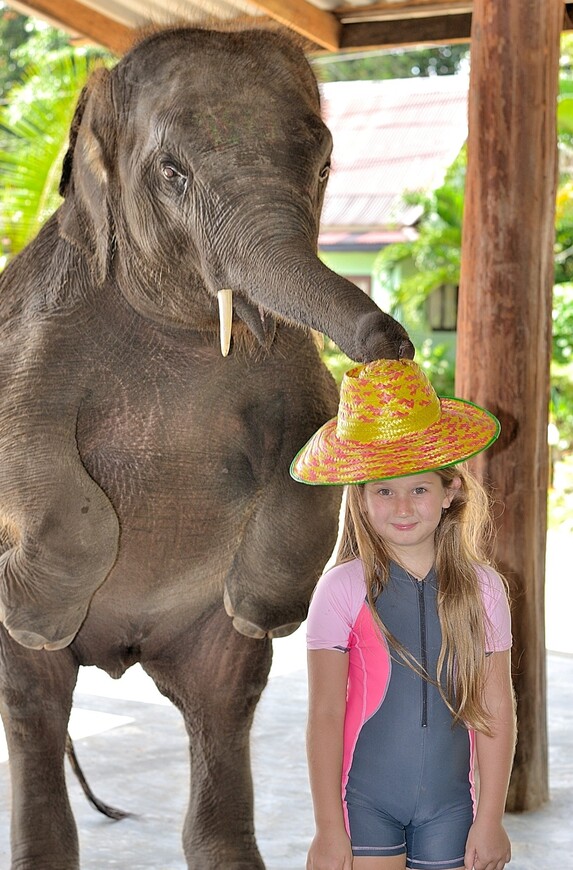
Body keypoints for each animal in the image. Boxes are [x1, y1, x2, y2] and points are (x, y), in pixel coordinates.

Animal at [0, 25, 412, 870]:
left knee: (223, 701)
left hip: (200, 642)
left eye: (325, 165)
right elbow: (30, 446)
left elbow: (312, 435)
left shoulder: (289, 357)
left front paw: (265, 610)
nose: (391, 341)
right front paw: (25, 605)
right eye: (172, 172)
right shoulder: (34, 333)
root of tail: (121, 652)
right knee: (34, 701)